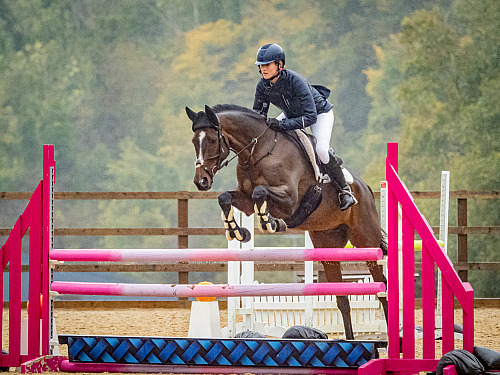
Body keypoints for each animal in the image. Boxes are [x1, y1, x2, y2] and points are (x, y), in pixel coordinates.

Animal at [186, 103, 388, 340]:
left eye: (211, 140)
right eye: (194, 141)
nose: (201, 181)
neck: (258, 152)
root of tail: (366, 188)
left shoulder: (289, 200)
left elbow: (260, 191)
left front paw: (270, 222)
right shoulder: (244, 200)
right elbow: (226, 197)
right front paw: (238, 231)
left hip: (366, 241)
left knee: (382, 288)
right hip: (328, 246)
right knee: (342, 299)